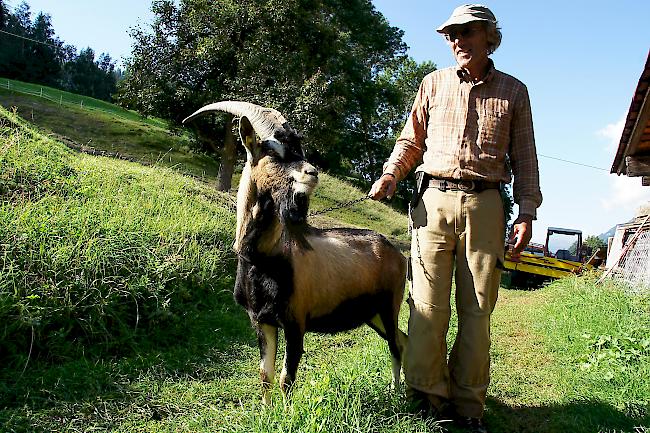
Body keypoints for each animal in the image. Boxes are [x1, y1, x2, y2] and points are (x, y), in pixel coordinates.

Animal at [182, 101, 404, 404]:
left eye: (299, 149)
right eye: (272, 152)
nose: (312, 173)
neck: (263, 259)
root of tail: (398, 254)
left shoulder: (295, 320)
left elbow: (287, 377)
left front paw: (285, 411)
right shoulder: (261, 320)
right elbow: (266, 375)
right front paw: (267, 410)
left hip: (389, 305)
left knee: (396, 344)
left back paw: (397, 392)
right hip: (372, 314)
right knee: (402, 339)